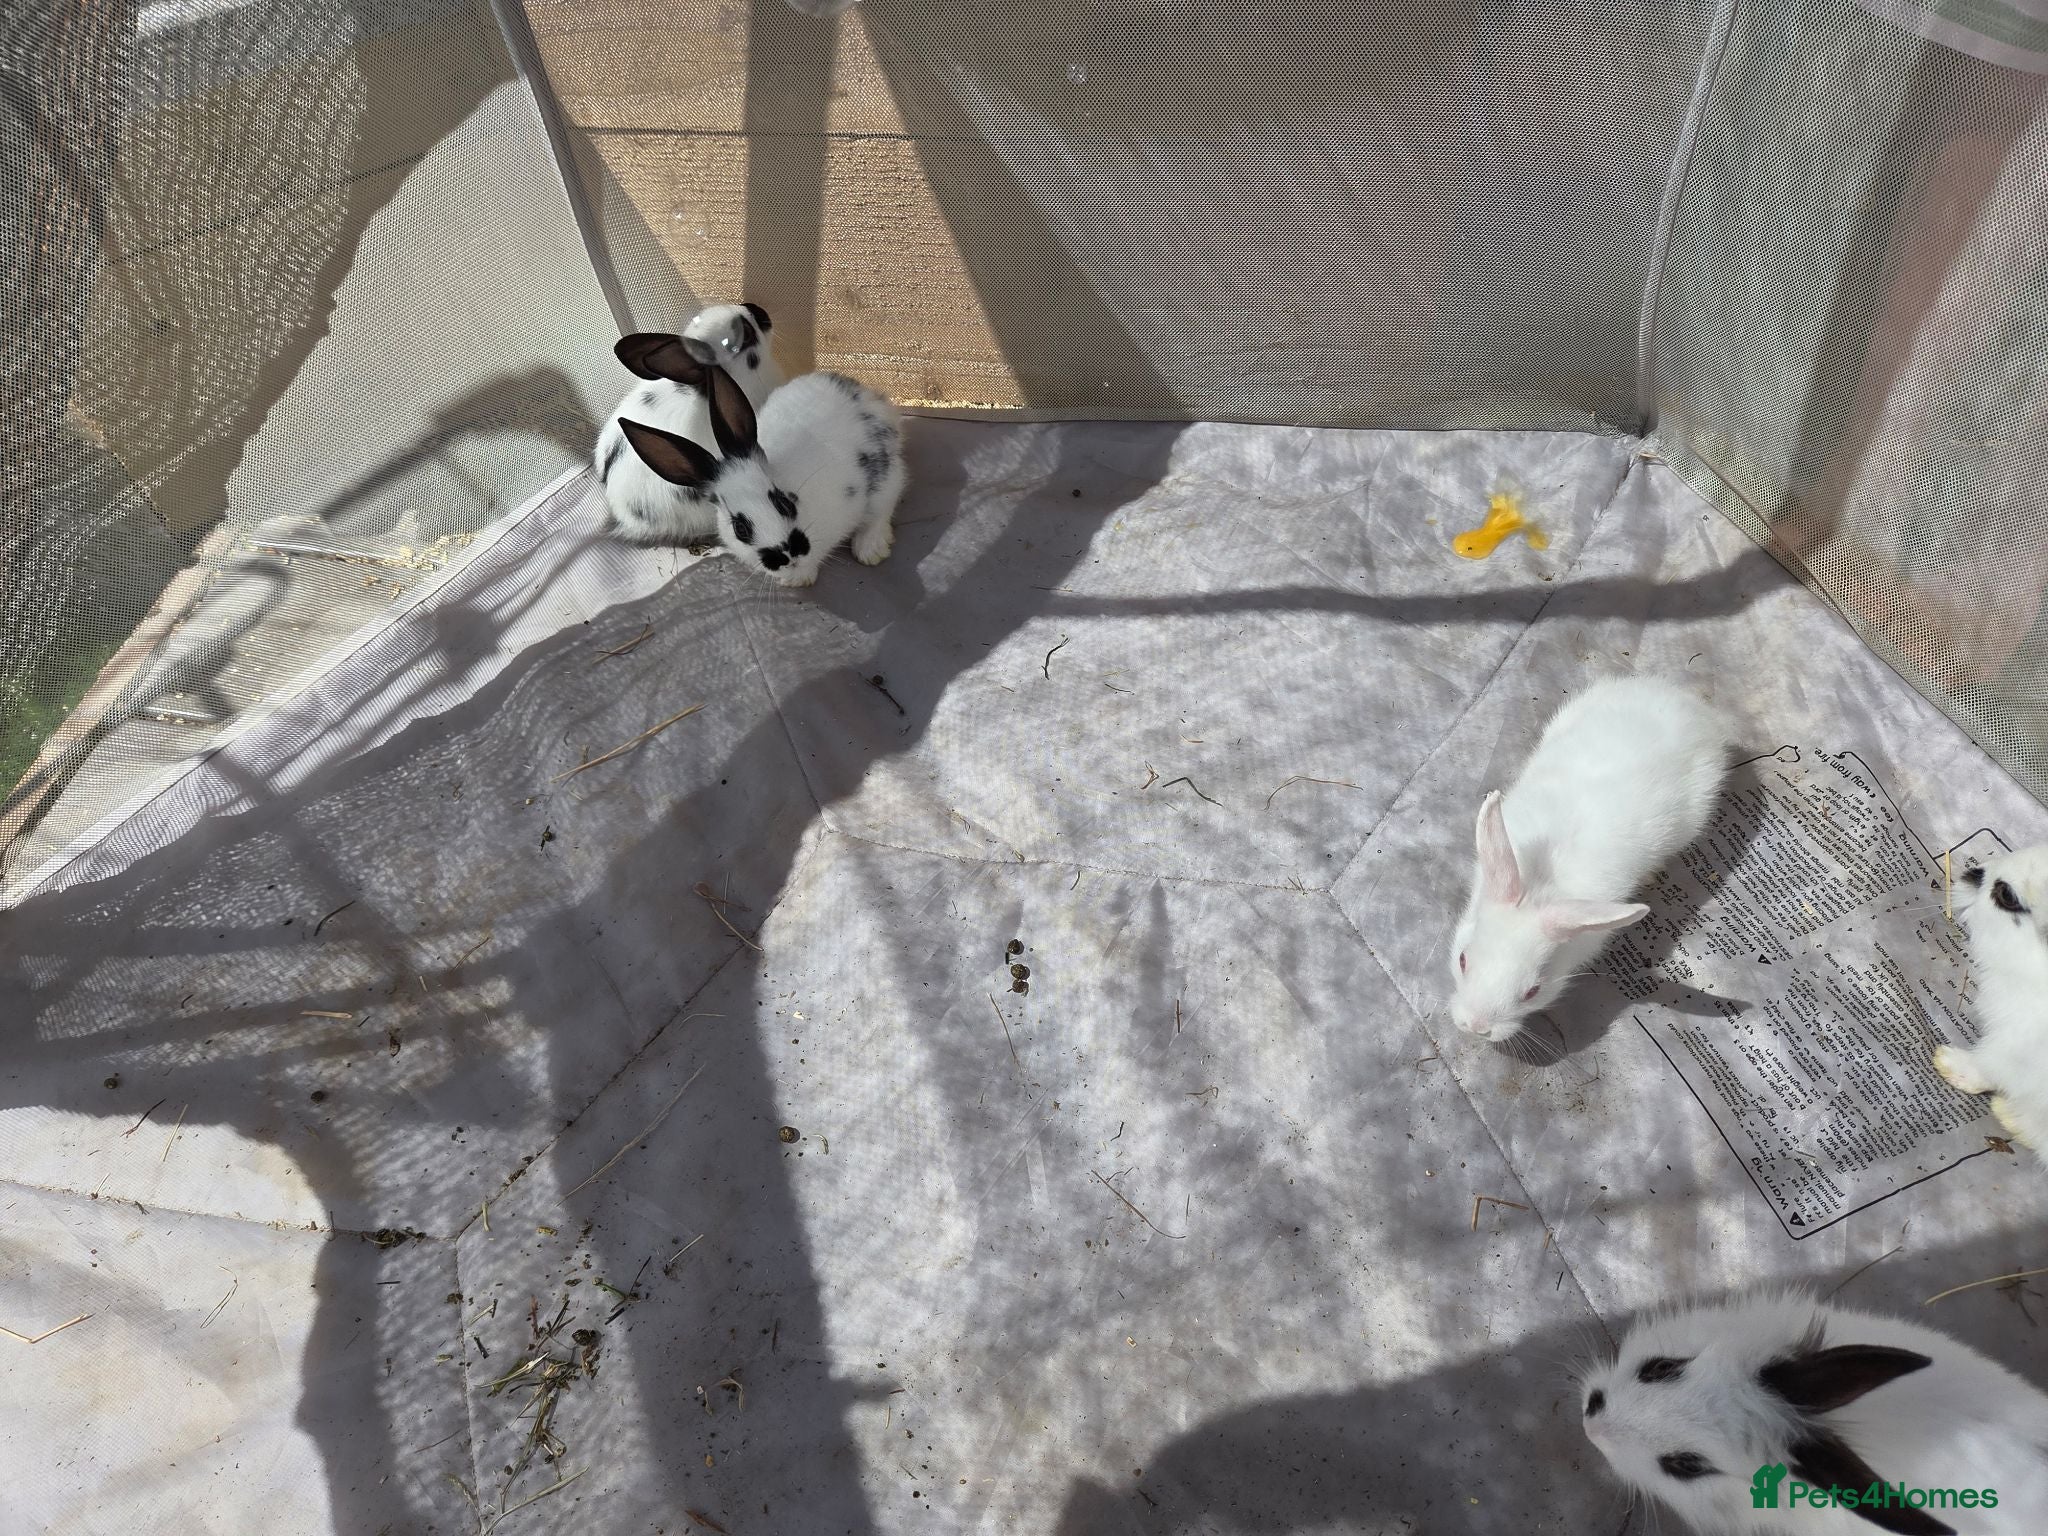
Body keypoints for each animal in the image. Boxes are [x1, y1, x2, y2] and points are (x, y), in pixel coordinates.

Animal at [614, 339, 904, 588]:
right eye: (740, 529)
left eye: (785, 503)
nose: (787, 554)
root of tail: (866, 394)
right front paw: (796, 580)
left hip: (886, 475)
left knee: (884, 506)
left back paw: (871, 549)